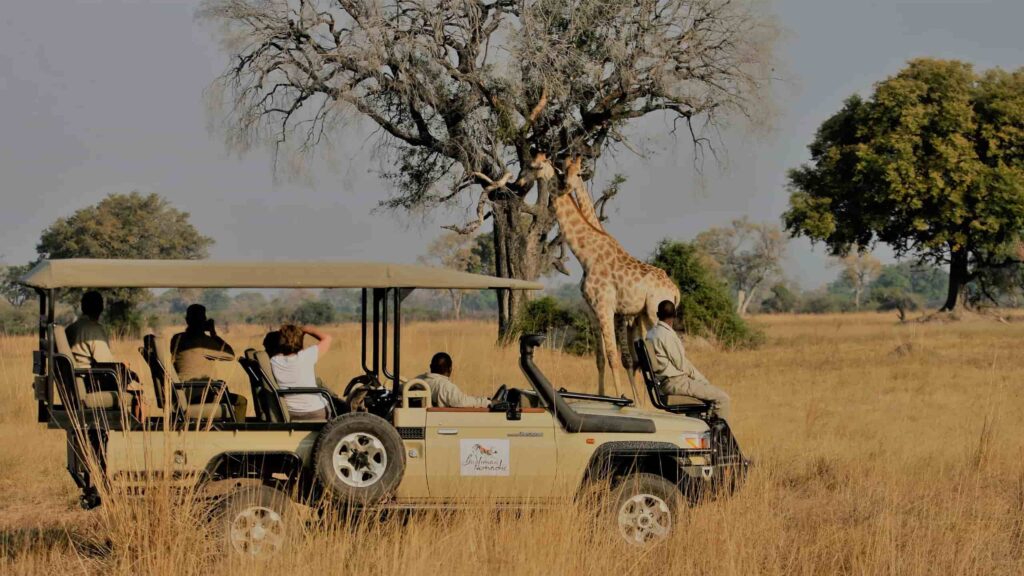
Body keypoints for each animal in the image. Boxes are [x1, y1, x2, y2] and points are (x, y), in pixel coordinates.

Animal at [536, 154, 679, 401]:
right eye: (564, 169)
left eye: (578, 173)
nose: (566, 186)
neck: (588, 254)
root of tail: (675, 289)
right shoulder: (596, 311)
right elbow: (602, 358)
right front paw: (604, 395)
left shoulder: (613, 311)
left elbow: (620, 358)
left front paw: (628, 400)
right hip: (643, 316)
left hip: (653, 313)